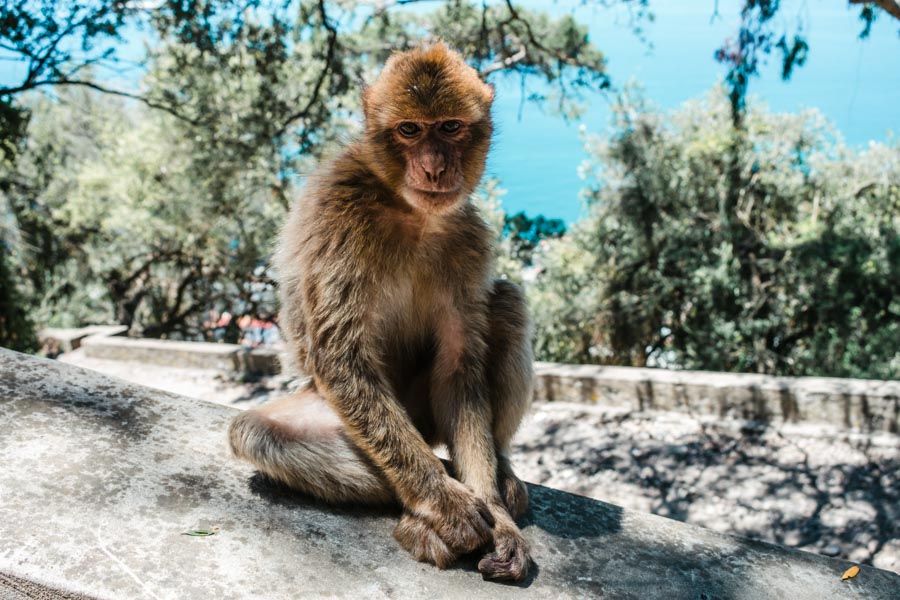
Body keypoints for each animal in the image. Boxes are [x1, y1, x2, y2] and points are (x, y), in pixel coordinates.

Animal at [229, 42, 536, 580]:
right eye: (409, 129)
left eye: (449, 127)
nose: (433, 168)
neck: (413, 212)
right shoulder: (340, 216)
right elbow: (342, 359)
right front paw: (448, 506)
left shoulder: (470, 240)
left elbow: (460, 367)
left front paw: (498, 519)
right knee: (257, 433)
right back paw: (423, 507)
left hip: (424, 411)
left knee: (508, 304)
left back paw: (498, 472)